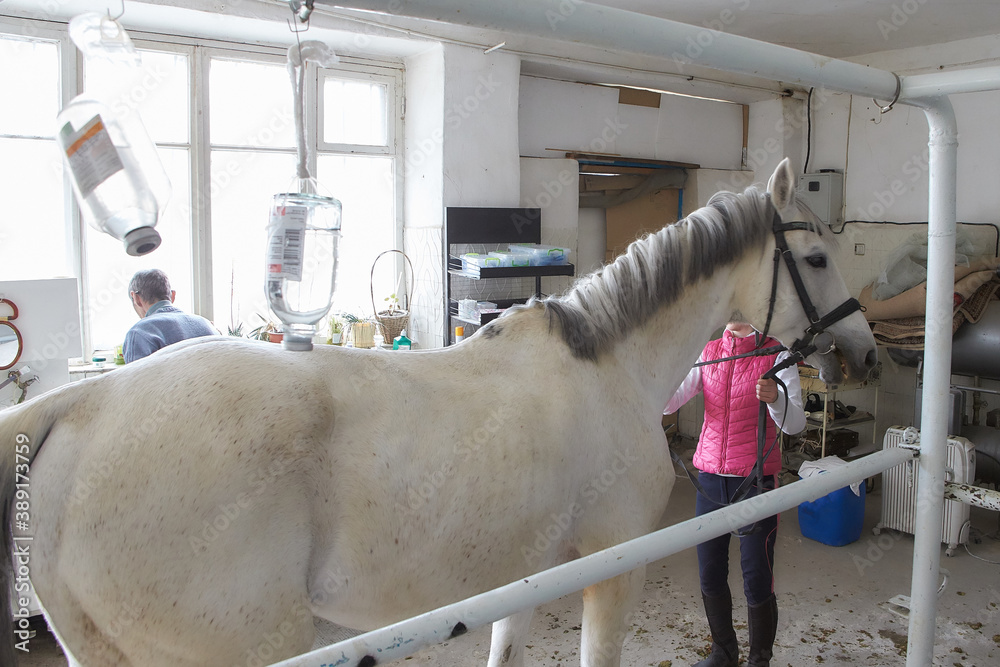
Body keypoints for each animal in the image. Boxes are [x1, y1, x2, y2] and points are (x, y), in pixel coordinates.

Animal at [0, 158, 876, 667]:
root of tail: (85, 401)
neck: (608, 366)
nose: (865, 352)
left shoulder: (522, 579)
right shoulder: (611, 573)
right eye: (817, 257)